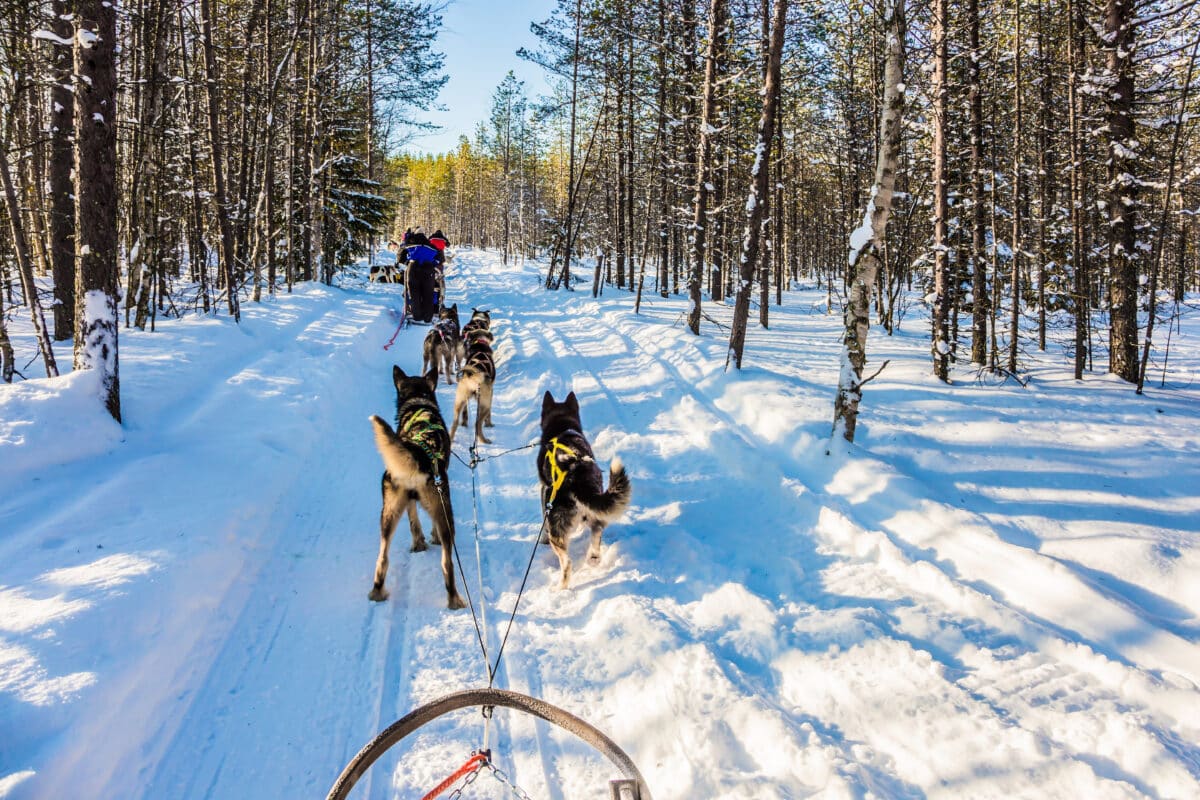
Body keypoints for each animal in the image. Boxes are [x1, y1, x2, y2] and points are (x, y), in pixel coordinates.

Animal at [364, 367, 463, 609]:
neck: (418, 402)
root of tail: (419, 449)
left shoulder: (408, 502)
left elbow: (413, 522)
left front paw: (418, 543)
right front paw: (431, 538)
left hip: (388, 513)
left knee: (382, 559)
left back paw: (377, 592)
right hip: (445, 512)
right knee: (447, 563)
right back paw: (455, 600)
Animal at [540, 393, 633, 587]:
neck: (562, 427)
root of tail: (575, 476)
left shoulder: (543, 490)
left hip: (556, 529)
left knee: (566, 563)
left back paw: (560, 588)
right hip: (597, 508)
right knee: (597, 531)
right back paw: (594, 558)